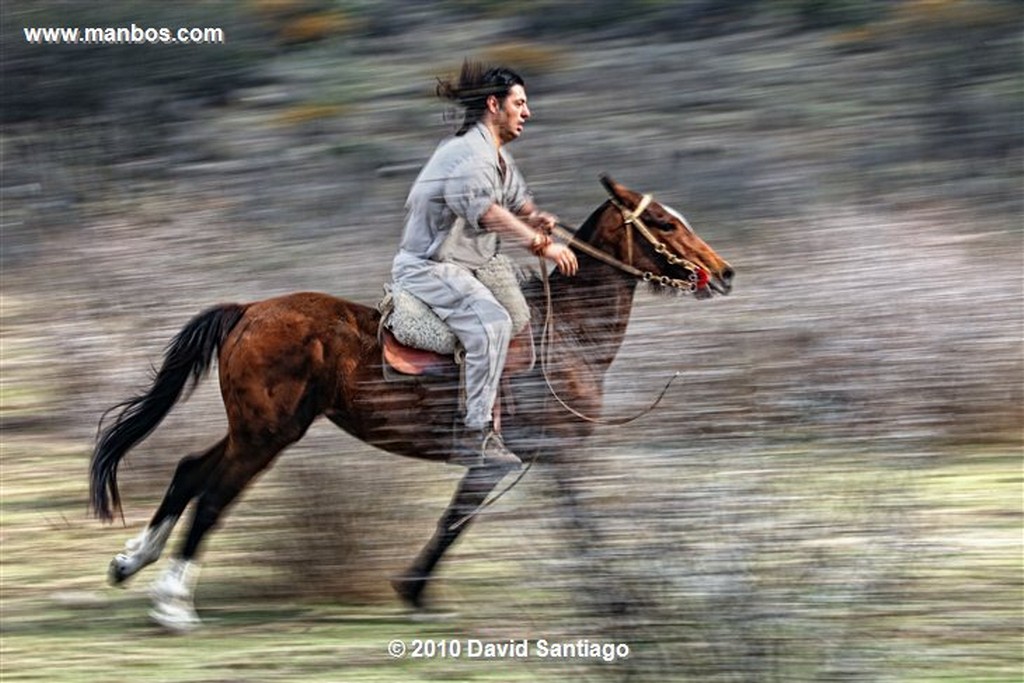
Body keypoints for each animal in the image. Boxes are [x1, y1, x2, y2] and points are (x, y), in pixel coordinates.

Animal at [86, 176, 729, 630]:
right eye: (665, 223)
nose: (723, 273)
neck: (570, 332)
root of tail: (246, 311)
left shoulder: (516, 460)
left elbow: (462, 519)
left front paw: (414, 590)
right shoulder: (545, 454)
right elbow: (560, 526)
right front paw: (617, 600)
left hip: (253, 429)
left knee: (190, 471)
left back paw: (129, 563)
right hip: (267, 436)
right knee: (215, 496)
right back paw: (172, 605)